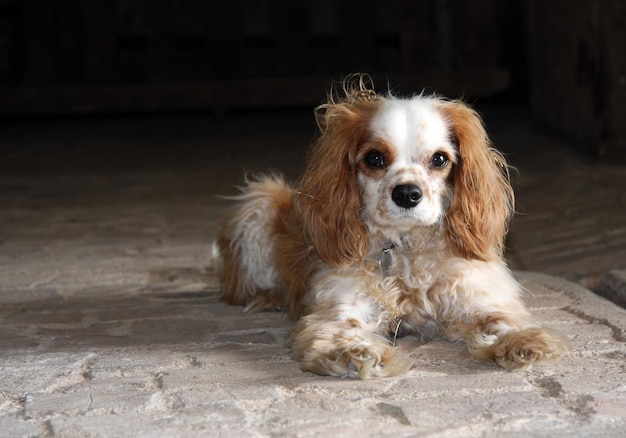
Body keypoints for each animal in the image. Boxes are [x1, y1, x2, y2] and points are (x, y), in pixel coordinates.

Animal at [214, 75, 572, 376]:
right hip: (258, 203)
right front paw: (356, 351)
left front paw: (522, 341)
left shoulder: (475, 294)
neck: (405, 248)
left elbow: (501, 319)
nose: (407, 193)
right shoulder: (340, 303)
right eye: (374, 158)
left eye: (439, 159)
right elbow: (342, 330)